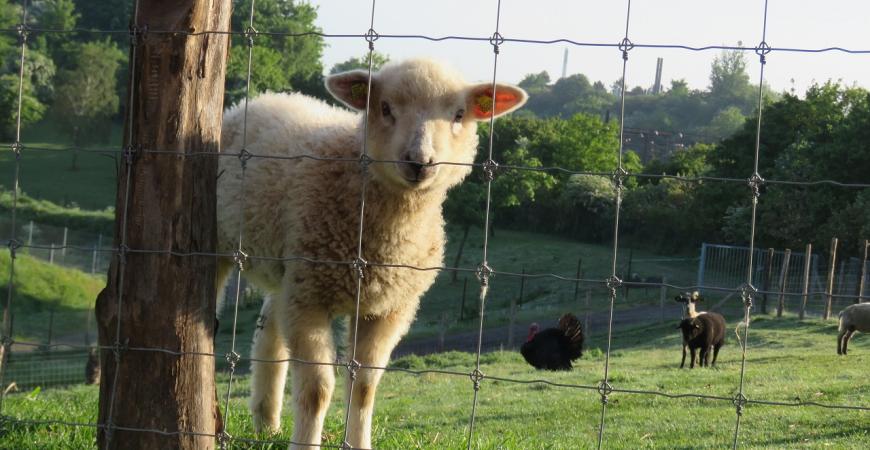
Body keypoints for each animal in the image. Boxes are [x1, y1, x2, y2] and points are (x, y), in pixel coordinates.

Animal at [216, 58, 532, 448]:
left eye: (459, 114)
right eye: (384, 108)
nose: (420, 161)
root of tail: (266, 98)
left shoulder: (389, 307)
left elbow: (365, 386)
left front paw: (359, 442)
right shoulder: (309, 299)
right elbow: (317, 390)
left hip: (289, 270)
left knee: (269, 330)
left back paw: (267, 422)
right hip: (232, 247)